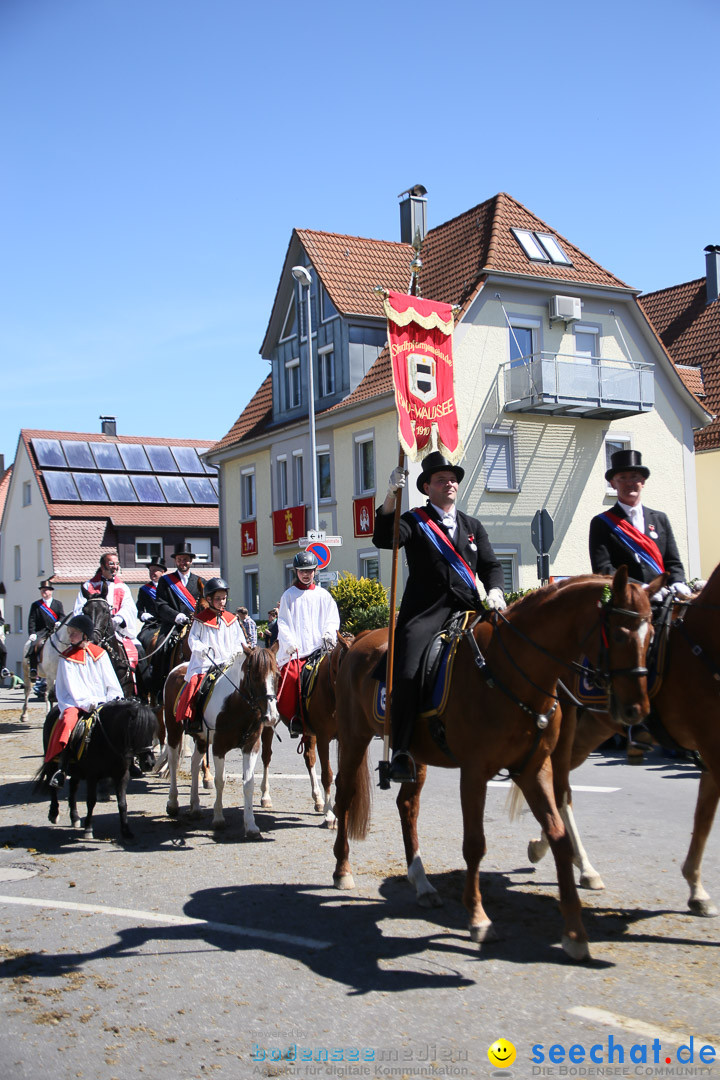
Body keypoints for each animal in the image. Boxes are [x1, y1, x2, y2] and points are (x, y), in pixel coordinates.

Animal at [260, 630, 354, 825]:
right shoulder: (324, 738)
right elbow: (327, 775)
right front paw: (330, 815)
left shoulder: (342, 738)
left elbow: (341, 775)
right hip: (270, 723)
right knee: (266, 756)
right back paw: (265, 796)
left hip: (309, 732)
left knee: (309, 758)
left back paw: (318, 799)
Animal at [332, 570, 664, 959]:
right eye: (620, 633)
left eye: (652, 635)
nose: (636, 710)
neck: (510, 671)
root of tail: (358, 640)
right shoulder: (475, 773)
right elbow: (475, 844)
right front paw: (478, 918)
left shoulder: (534, 770)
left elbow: (559, 836)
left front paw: (574, 932)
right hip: (354, 738)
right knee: (344, 797)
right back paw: (342, 869)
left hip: (414, 755)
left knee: (407, 805)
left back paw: (422, 883)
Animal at [524, 561, 720, 915]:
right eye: (617, 636)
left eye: (651, 636)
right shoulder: (712, 747)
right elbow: (705, 817)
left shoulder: (710, 753)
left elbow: (704, 818)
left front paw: (697, 888)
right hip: (569, 727)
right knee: (561, 791)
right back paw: (582, 865)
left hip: (591, 730)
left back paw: (554, 849)